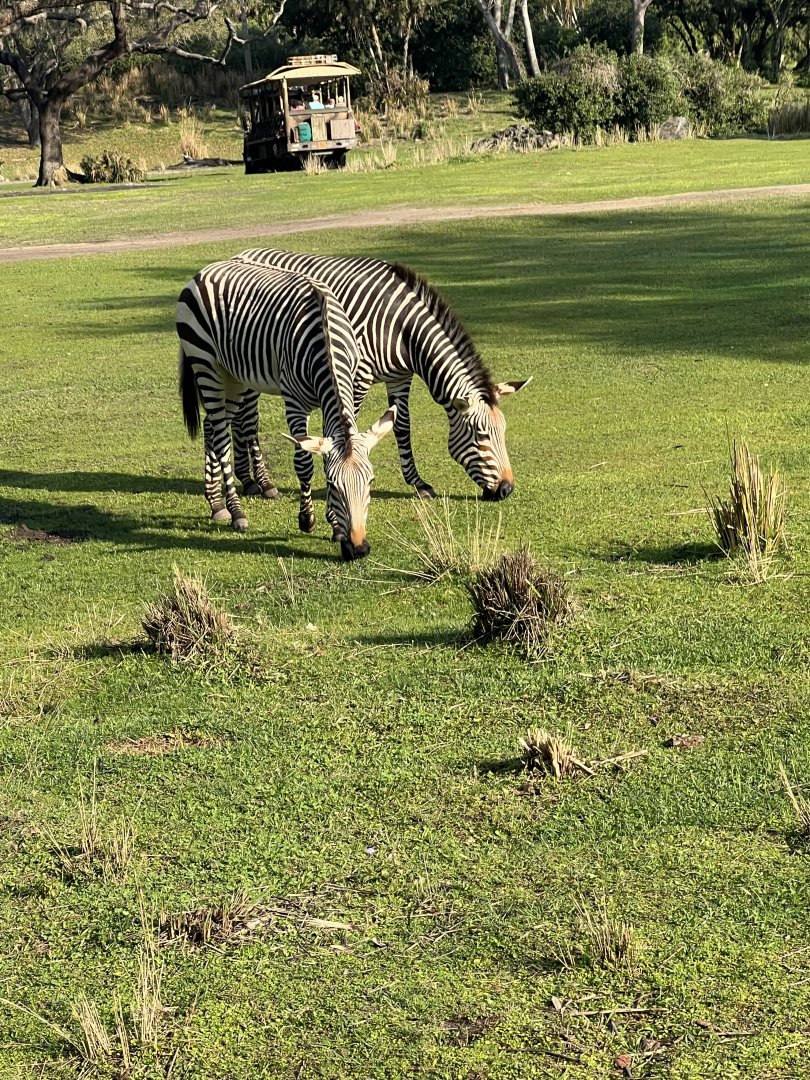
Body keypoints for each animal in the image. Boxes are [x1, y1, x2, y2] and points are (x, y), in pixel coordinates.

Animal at [176, 259, 395, 561]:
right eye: (333, 485)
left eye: (371, 482)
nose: (359, 549)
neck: (326, 339)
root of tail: (206, 270)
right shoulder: (294, 401)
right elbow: (303, 463)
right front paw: (307, 520)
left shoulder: (333, 403)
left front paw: (335, 527)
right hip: (206, 364)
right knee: (220, 437)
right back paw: (235, 510)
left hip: (233, 375)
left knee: (211, 425)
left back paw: (215, 503)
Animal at [224, 249, 530, 503]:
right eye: (480, 436)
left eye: (503, 432)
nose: (506, 490)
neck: (403, 329)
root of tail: (244, 252)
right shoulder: (356, 378)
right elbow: (347, 426)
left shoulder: (400, 377)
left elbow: (402, 426)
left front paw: (418, 483)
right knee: (246, 420)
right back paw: (260, 483)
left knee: (240, 418)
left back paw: (249, 481)